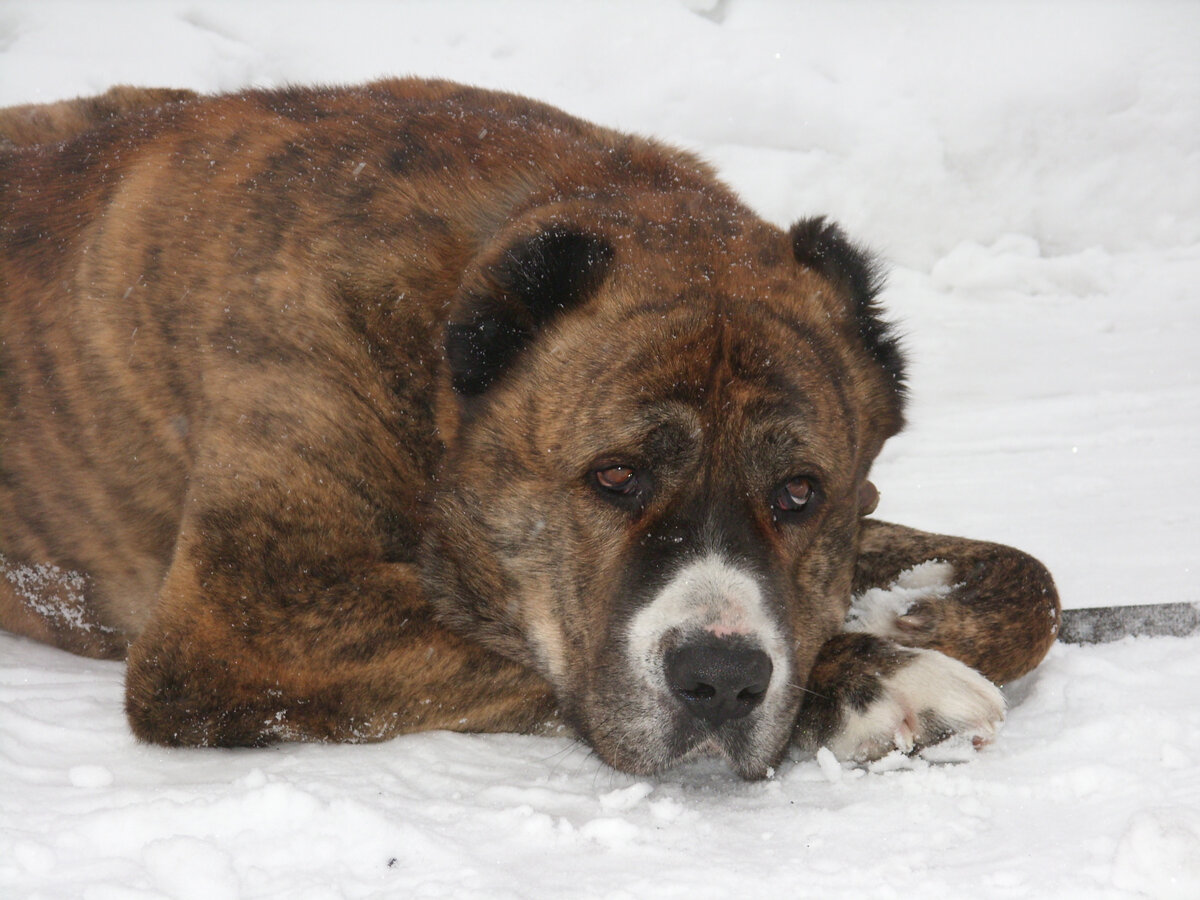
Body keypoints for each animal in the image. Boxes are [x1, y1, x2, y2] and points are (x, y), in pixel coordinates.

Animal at [0, 81, 1060, 777]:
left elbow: (1034, 586)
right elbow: (526, 649)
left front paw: (908, 618)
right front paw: (879, 680)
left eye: (800, 495)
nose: (721, 679)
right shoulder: (246, 618)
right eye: (614, 477)